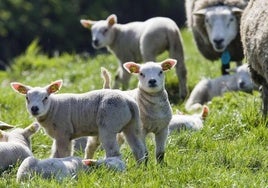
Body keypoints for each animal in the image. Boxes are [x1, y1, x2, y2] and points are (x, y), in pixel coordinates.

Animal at [9, 79, 147, 163]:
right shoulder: (61, 136)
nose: (34, 108)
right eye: (27, 98)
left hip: (109, 124)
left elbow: (62, 153)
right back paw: (141, 167)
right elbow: (56, 153)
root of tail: (128, 101)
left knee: (113, 152)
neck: (54, 107)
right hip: (132, 124)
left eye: (46, 97)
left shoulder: (63, 133)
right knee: (139, 149)